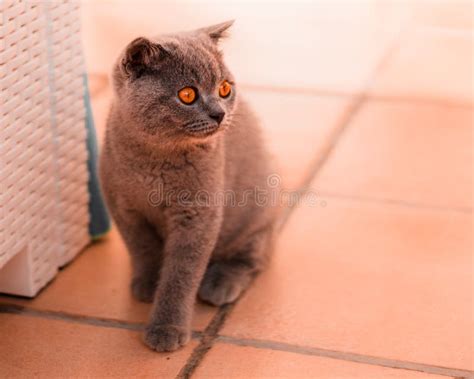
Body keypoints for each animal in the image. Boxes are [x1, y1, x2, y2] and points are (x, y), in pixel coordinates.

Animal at [98, 21, 280, 354]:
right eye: (187, 94)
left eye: (224, 89)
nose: (219, 114)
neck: (154, 162)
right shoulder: (124, 208)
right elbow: (141, 248)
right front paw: (147, 284)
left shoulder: (197, 214)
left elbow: (180, 274)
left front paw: (166, 329)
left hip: (257, 212)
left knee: (254, 256)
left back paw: (219, 284)